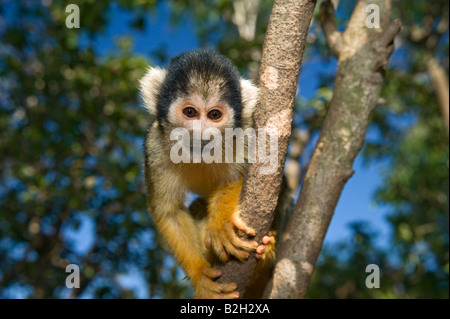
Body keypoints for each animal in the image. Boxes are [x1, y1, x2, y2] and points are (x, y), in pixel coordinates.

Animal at [140, 50, 274, 300]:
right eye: (190, 112)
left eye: (214, 115)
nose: (202, 135)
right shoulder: (154, 146)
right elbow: (169, 211)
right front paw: (201, 275)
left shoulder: (245, 133)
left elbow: (249, 175)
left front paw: (220, 222)